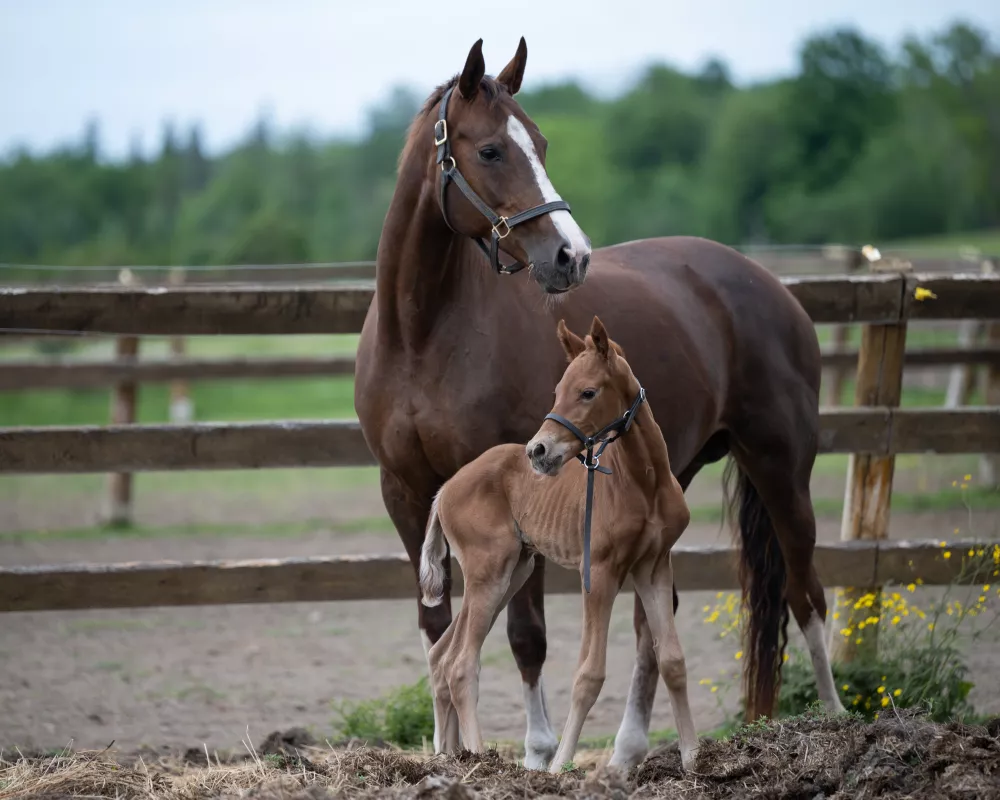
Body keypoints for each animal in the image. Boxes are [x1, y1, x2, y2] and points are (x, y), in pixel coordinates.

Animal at [420, 316, 696, 772]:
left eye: (587, 391)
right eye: (557, 391)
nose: (538, 450)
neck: (644, 483)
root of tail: (443, 491)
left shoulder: (654, 565)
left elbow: (672, 660)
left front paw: (693, 759)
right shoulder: (600, 572)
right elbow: (589, 673)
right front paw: (559, 765)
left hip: (514, 572)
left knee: (443, 657)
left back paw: (449, 755)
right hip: (489, 574)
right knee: (460, 664)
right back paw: (478, 758)